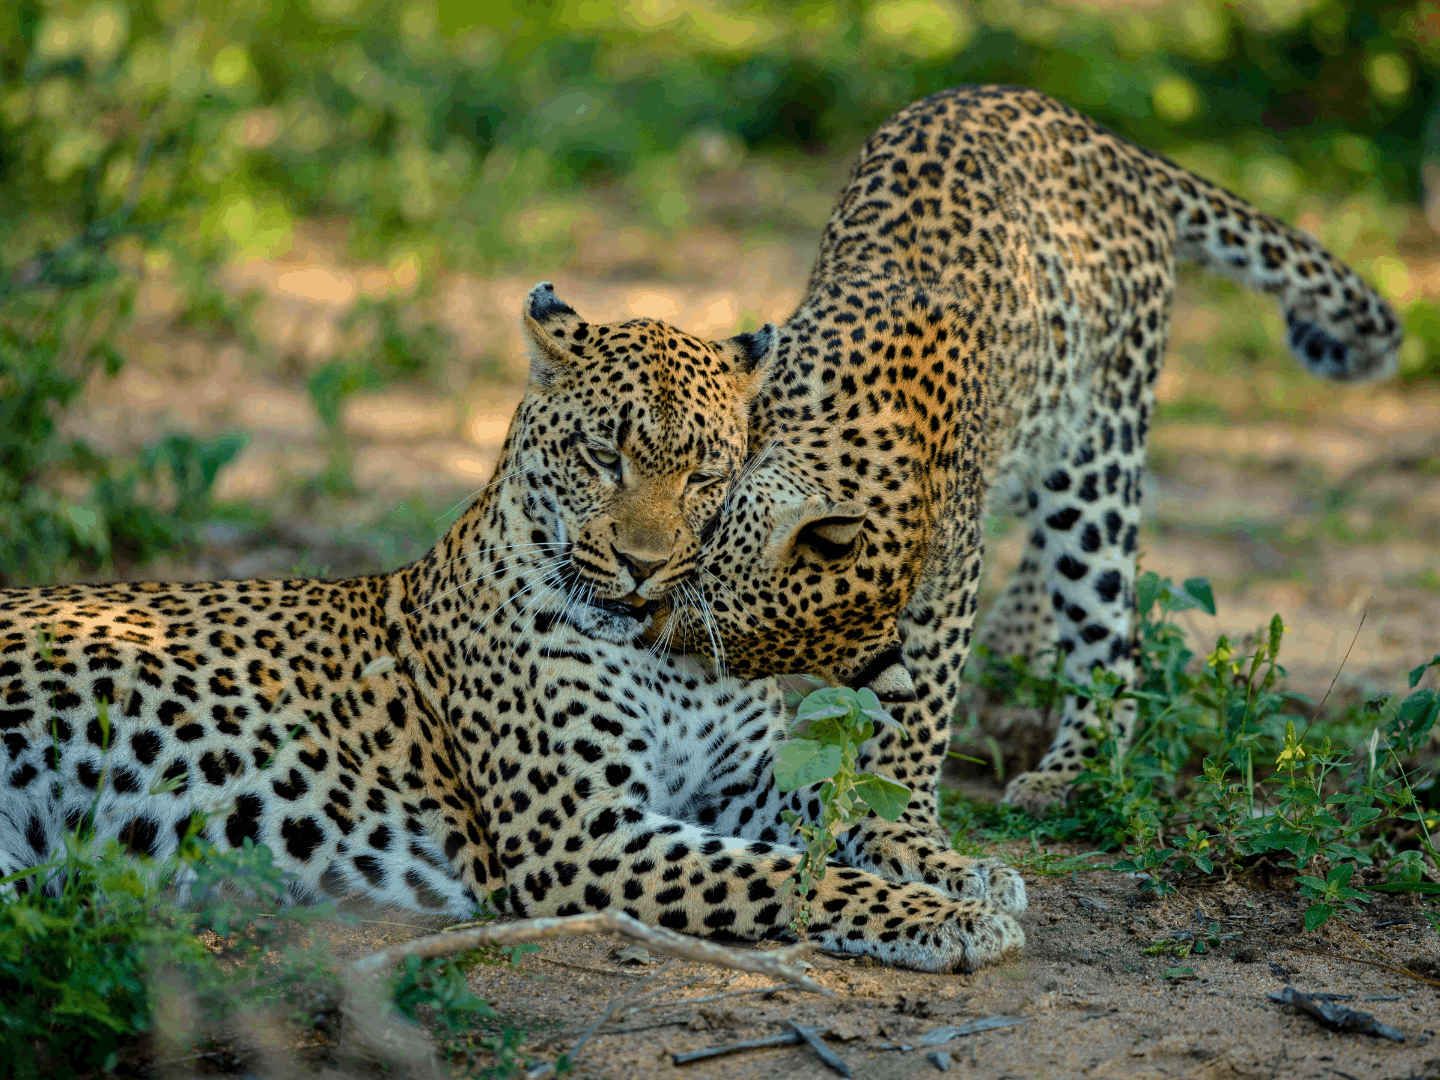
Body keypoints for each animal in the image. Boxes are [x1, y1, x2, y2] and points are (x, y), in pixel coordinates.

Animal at [5, 283, 1031, 979]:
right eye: (603, 455)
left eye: (705, 474)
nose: (644, 564)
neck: (664, 660)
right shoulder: (584, 833)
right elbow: (787, 877)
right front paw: (948, 918)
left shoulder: (744, 787)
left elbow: (850, 817)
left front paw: (969, 874)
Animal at [668, 84, 1399, 823]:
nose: (655, 637)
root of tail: (1118, 148)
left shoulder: (953, 572)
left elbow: (928, 696)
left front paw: (901, 800)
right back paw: (1014, 642)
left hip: (1097, 452)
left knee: (1111, 637)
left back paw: (1065, 771)